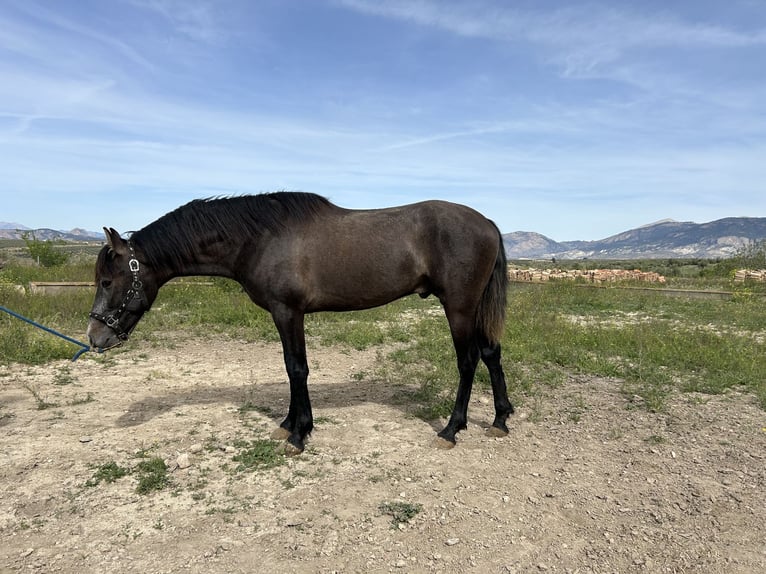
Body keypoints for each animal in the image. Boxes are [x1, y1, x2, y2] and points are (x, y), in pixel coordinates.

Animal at [88, 194, 516, 454]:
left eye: (108, 281)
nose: (95, 337)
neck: (259, 238)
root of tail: (487, 223)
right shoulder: (286, 315)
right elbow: (290, 368)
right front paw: (288, 424)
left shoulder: (287, 312)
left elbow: (297, 368)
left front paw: (298, 433)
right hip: (475, 308)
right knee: (492, 353)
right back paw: (499, 419)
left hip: (459, 307)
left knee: (468, 361)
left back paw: (451, 430)